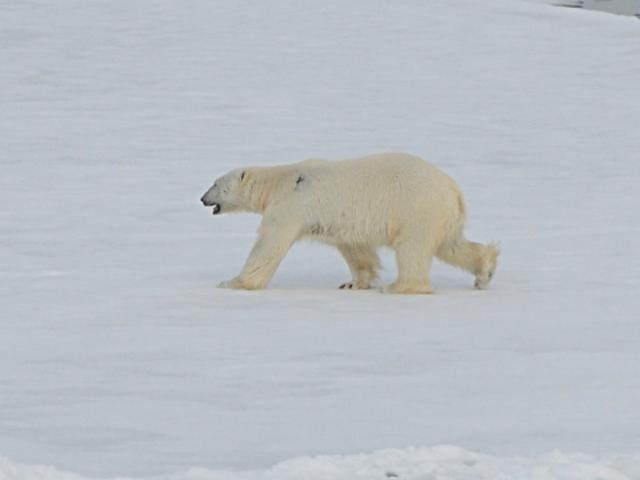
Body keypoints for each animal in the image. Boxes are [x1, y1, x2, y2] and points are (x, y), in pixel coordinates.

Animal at [199, 153, 496, 292]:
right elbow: (355, 249)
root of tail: (455, 191)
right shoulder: (339, 222)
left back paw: (399, 287)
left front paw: (232, 282)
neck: (280, 182)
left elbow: (269, 244)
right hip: (441, 215)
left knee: (413, 248)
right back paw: (485, 270)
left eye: (215, 183)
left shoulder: (291, 205)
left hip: (417, 208)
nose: (202, 198)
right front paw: (353, 283)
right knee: (451, 245)